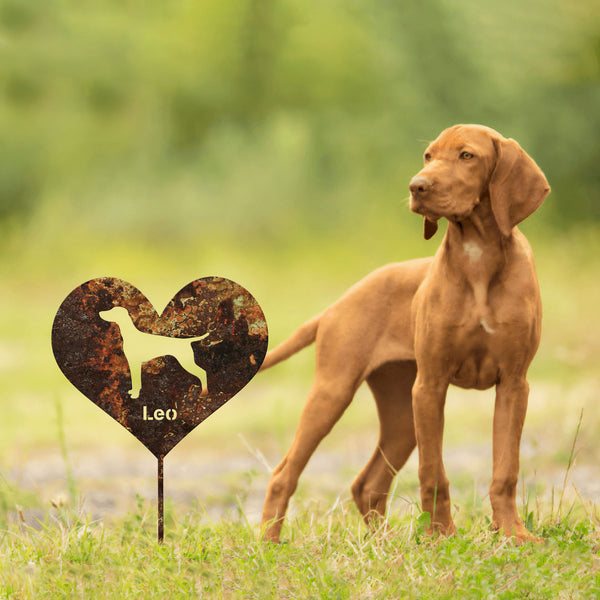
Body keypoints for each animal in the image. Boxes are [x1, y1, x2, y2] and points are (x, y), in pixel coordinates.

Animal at [260, 124, 552, 540]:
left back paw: (381, 542)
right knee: (284, 473)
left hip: (401, 413)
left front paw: (512, 533)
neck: (477, 254)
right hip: (337, 392)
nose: (417, 186)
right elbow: (433, 471)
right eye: (429, 156)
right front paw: (439, 537)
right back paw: (268, 542)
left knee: (367, 484)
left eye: (467, 156)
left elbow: (506, 468)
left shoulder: (514, 384)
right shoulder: (431, 385)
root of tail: (336, 306)